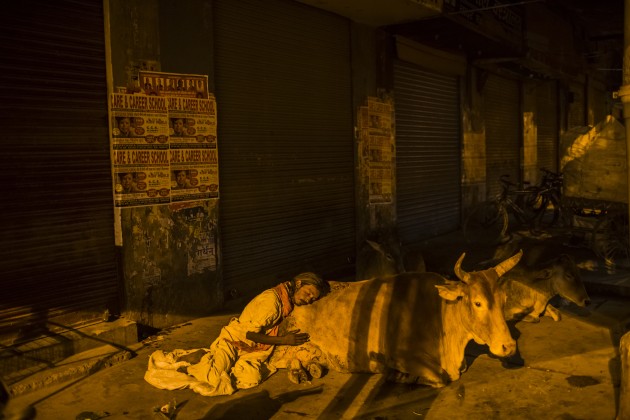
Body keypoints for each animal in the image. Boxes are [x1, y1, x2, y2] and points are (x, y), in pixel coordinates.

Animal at [272, 249, 524, 388]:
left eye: (503, 299)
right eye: (477, 302)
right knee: (283, 361)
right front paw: (399, 376)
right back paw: (298, 373)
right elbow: (441, 378)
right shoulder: (400, 356)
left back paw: (312, 369)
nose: (508, 346)